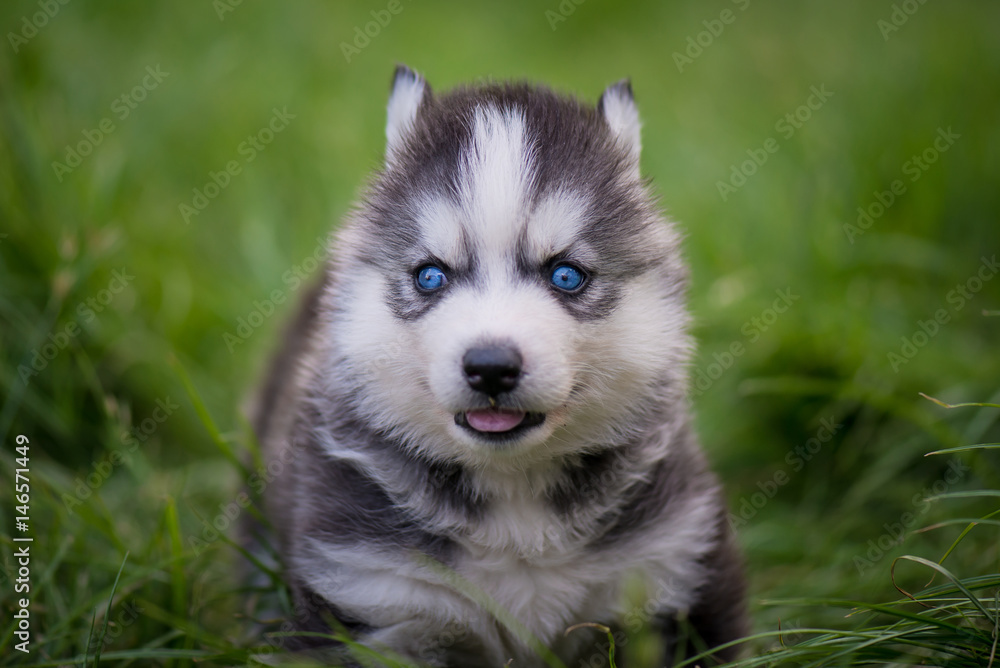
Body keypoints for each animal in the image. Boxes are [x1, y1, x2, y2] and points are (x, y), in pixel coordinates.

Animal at [254, 65, 748, 664]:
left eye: (566, 275)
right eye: (430, 276)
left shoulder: (670, 565)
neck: (516, 500)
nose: (490, 366)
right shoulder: (371, 590)